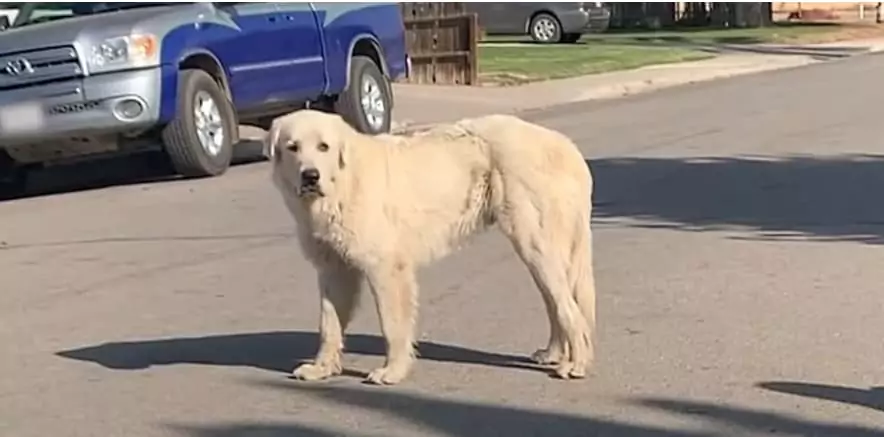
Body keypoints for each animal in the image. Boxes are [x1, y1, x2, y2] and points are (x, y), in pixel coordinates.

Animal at [260, 110, 592, 384]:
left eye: (324, 147)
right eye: (293, 147)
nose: (310, 176)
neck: (344, 182)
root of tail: (567, 146)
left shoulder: (386, 268)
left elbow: (393, 325)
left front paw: (392, 372)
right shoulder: (334, 270)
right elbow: (328, 326)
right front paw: (322, 368)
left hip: (536, 244)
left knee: (570, 309)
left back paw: (577, 364)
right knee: (556, 304)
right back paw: (553, 354)